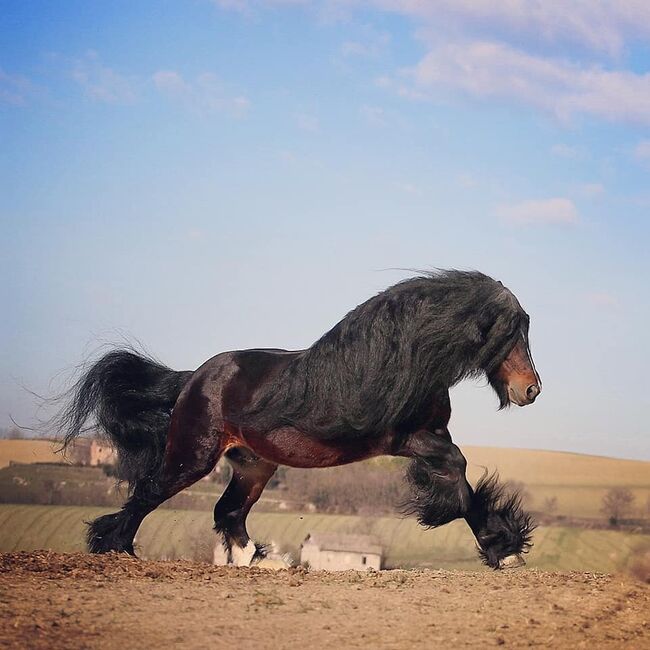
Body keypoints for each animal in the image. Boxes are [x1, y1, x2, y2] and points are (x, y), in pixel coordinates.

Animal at [58, 268, 540, 568]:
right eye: (513, 330)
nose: (531, 389)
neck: (403, 359)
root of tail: (192, 378)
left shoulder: (432, 434)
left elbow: (465, 483)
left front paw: (505, 549)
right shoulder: (405, 439)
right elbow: (459, 473)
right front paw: (496, 542)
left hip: (253, 465)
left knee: (228, 511)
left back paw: (265, 561)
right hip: (191, 458)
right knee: (148, 493)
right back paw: (114, 548)